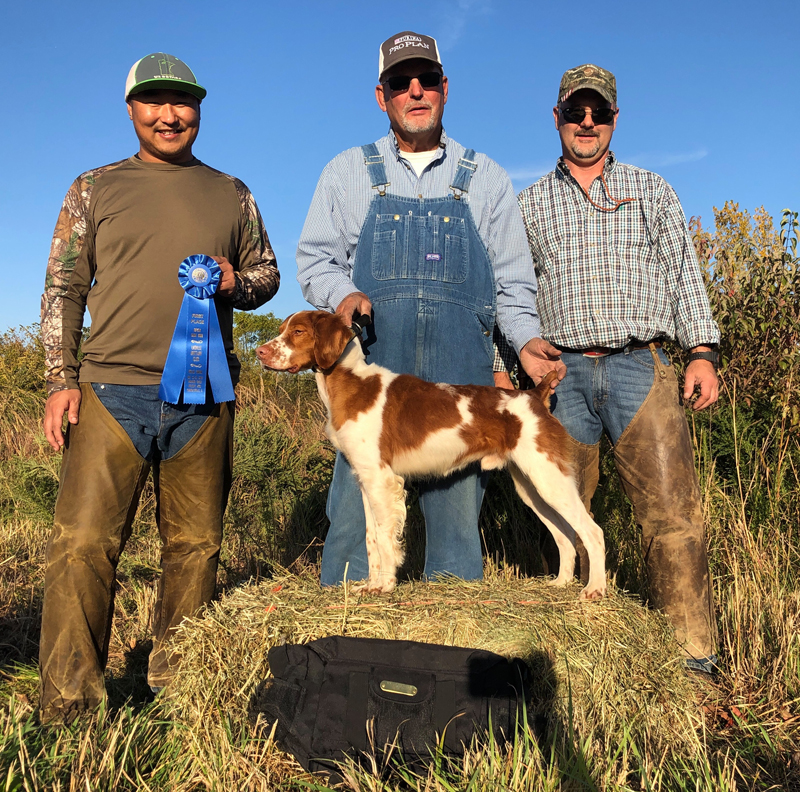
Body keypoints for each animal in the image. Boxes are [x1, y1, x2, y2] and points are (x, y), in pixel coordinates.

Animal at [256, 310, 608, 600]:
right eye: (282, 329)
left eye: (298, 331)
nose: (260, 352)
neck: (353, 384)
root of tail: (535, 395)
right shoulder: (366, 480)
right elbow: (371, 539)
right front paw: (369, 585)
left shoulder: (382, 480)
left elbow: (384, 538)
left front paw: (384, 586)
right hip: (530, 484)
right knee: (564, 533)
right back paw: (560, 583)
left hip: (548, 477)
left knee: (591, 530)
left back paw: (595, 589)